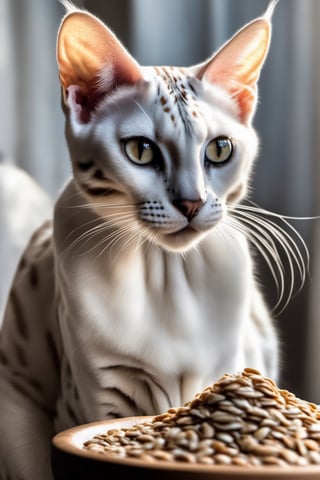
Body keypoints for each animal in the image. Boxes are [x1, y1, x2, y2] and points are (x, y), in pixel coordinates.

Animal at [0, 1, 280, 478]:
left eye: (219, 149)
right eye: (141, 151)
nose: (191, 202)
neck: (166, 274)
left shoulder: (225, 369)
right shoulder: (96, 397)